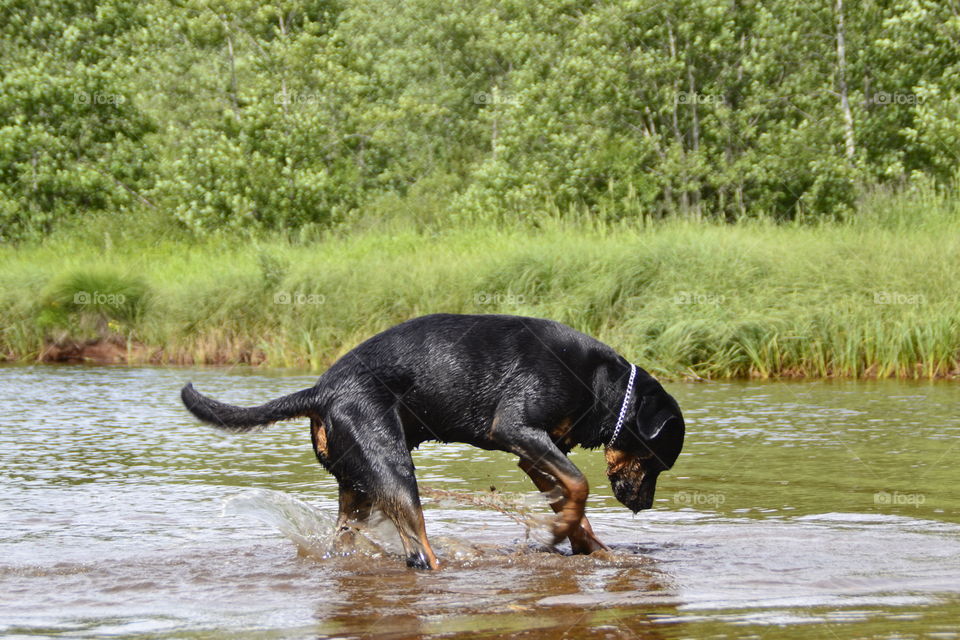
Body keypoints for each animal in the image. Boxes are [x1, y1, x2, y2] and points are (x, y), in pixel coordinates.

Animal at [180, 312, 688, 568]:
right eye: (658, 463)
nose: (644, 506)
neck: (604, 386)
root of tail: (321, 391)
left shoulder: (536, 452)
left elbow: (571, 497)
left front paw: (584, 542)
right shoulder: (516, 429)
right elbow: (579, 485)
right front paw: (560, 532)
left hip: (357, 488)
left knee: (351, 539)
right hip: (394, 470)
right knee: (419, 552)